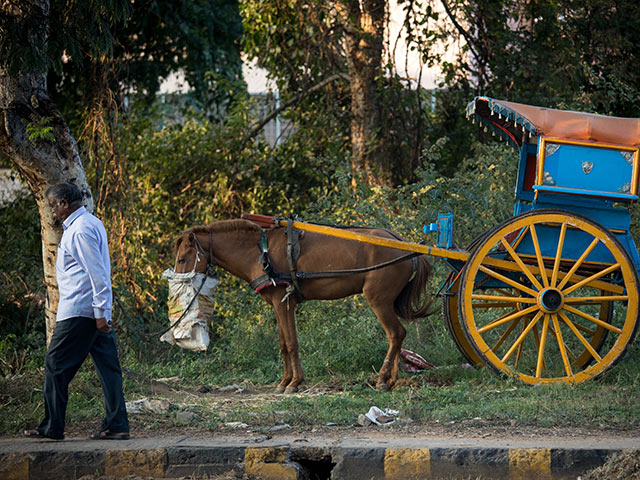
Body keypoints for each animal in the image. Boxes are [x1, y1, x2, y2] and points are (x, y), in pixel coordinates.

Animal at [172, 219, 432, 392]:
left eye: (182, 259)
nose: (178, 286)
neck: (259, 253)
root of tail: (405, 244)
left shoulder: (284, 301)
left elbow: (291, 342)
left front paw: (294, 383)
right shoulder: (278, 304)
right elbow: (282, 344)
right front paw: (284, 381)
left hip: (378, 300)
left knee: (395, 334)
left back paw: (382, 379)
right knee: (398, 335)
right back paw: (392, 380)